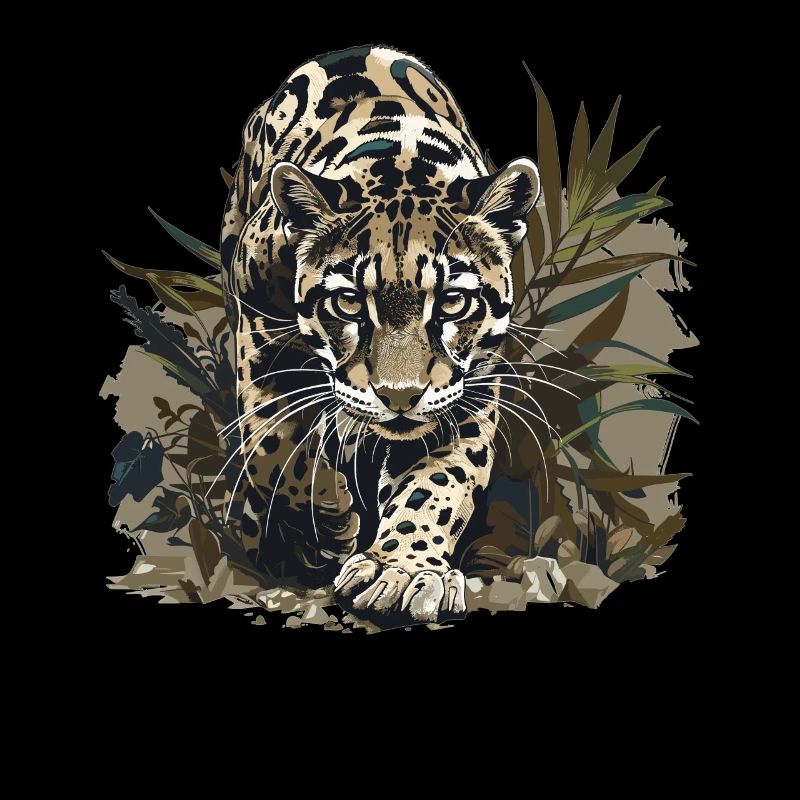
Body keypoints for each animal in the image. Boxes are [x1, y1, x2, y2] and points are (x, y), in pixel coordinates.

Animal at [221, 44, 540, 626]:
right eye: (348, 301)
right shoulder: (257, 325)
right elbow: (276, 445)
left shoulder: (470, 386)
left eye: (453, 302)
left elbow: (439, 481)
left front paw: (403, 571)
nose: (399, 397)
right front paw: (331, 519)